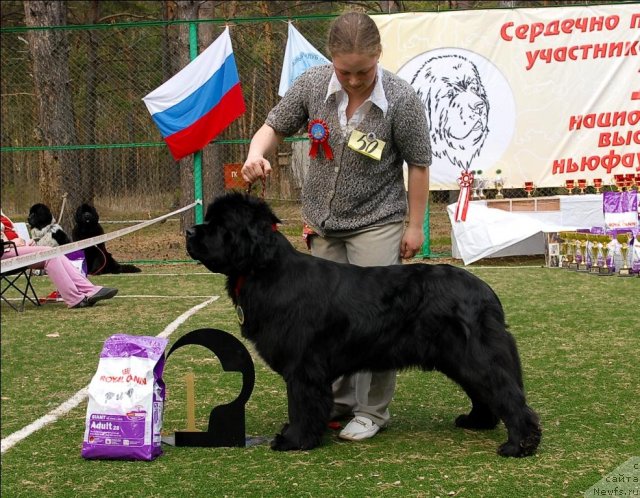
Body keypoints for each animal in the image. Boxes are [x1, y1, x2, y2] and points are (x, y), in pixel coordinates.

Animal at [186, 193, 540, 458]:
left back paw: (519, 445)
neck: (265, 270)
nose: (189, 232)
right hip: (459, 358)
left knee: (506, 393)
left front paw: (293, 440)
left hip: (474, 355)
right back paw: (477, 422)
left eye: (219, 225)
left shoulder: (303, 366)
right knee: (485, 392)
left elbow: (300, 404)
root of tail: (486, 293)